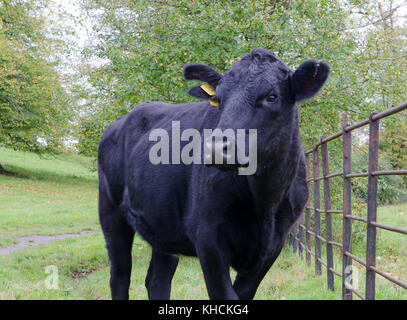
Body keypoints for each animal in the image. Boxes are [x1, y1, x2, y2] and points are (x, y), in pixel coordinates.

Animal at [99, 47, 332, 300]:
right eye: (218, 100)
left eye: (271, 97)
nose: (216, 148)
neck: (265, 201)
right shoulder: (208, 238)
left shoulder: (273, 245)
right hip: (110, 213)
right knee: (119, 276)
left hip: (162, 225)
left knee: (157, 279)